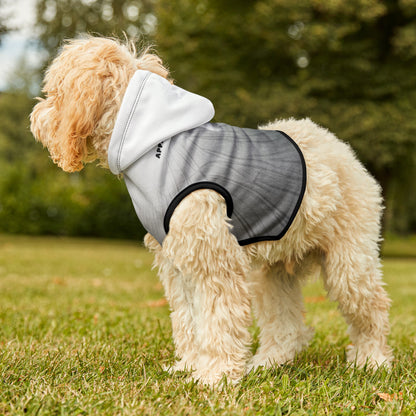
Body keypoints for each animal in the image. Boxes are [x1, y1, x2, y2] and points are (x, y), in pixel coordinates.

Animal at [30, 37, 394, 386]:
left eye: (54, 92)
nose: (35, 117)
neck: (154, 144)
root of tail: (340, 148)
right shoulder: (178, 263)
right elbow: (189, 320)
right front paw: (191, 366)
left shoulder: (214, 260)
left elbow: (218, 319)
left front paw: (215, 375)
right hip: (273, 273)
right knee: (286, 325)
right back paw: (268, 362)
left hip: (349, 263)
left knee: (372, 309)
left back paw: (372, 360)